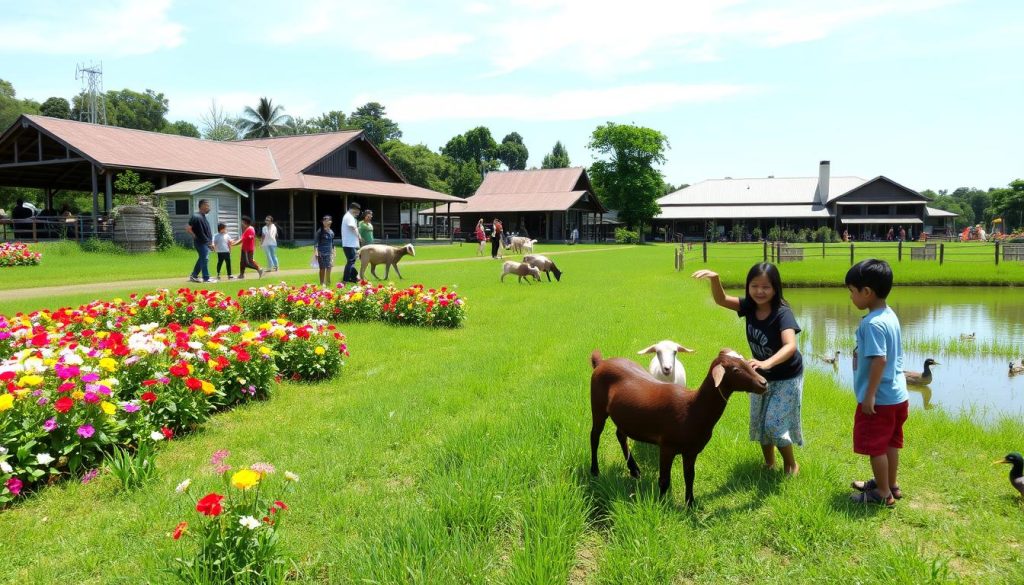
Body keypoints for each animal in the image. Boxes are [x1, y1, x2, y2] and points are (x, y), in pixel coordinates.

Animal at [589, 346, 765, 506]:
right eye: (735, 369)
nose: (763, 383)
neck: (693, 409)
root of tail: (602, 362)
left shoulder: (692, 450)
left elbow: (690, 476)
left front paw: (690, 504)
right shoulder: (667, 446)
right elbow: (664, 480)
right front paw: (661, 505)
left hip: (625, 417)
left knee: (620, 435)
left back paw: (634, 469)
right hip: (598, 406)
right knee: (594, 437)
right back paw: (595, 471)